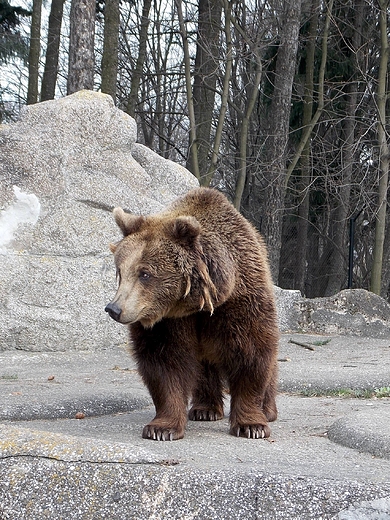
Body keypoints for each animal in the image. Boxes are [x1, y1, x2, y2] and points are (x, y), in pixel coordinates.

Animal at [105, 187, 278, 438]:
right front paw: (161, 428)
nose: (114, 308)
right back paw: (205, 409)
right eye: (120, 270)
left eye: (145, 273)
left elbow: (251, 353)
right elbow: (164, 363)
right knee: (204, 366)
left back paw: (268, 409)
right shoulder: (168, 322)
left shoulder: (239, 300)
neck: (198, 304)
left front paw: (252, 425)